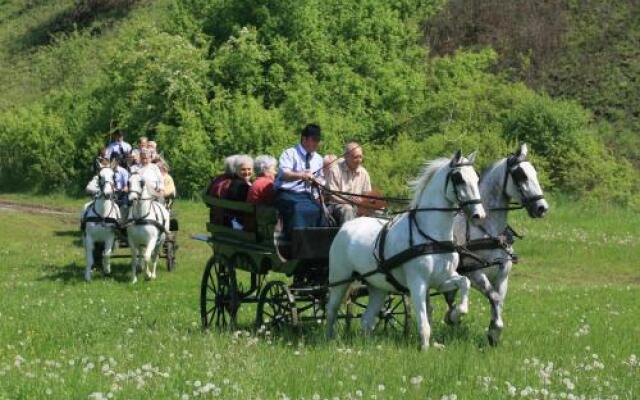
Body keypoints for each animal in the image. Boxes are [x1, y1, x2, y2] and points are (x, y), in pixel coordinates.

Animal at [328, 151, 488, 350]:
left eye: (476, 177)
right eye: (459, 179)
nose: (479, 215)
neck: (431, 236)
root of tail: (346, 226)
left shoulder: (440, 280)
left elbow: (464, 283)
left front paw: (454, 315)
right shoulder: (417, 283)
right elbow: (423, 320)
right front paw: (425, 348)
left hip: (377, 287)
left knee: (366, 320)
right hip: (339, 279)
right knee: (331, 310)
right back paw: (330, 338)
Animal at [450, 143, 552, 344]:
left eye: (535, 173)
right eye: (521, 175)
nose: (542, 208)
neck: (487, 229)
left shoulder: (503, 273)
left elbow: (498, 300)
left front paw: (493, 332)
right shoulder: (474, 273)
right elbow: (494, 298)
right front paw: (493, 329)